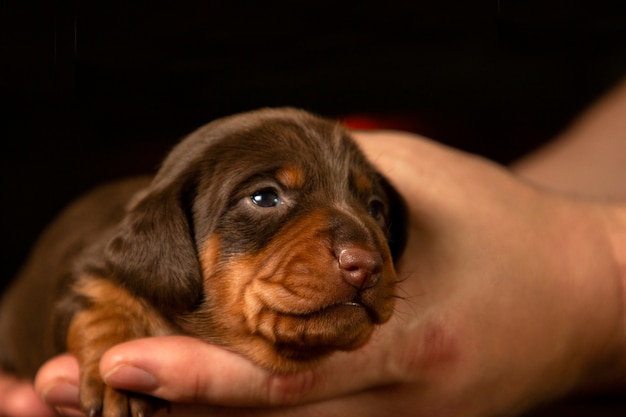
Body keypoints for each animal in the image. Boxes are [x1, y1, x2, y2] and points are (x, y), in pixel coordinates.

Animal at [0, 108, 404, 416]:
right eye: (264, 197)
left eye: (375, 209)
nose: (365, 265)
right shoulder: (88, 268)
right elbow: (100, 303)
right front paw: (116, 377)